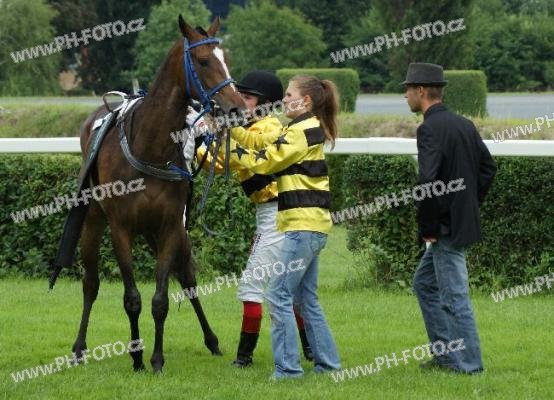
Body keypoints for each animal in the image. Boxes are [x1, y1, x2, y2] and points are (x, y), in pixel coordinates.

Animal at [72, 15, 245, 372]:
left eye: (226, 59)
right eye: (203, 61)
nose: (236, 107)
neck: (149, 146)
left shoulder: (169, 227)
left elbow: (161, 299)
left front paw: (156, 358)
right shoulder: (121, 229)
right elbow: (132, 298)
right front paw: (137, 355)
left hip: (162, 233)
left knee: (187, 279)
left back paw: (211, 340)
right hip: (93, 221)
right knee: (90, 282)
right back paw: (80, 347)